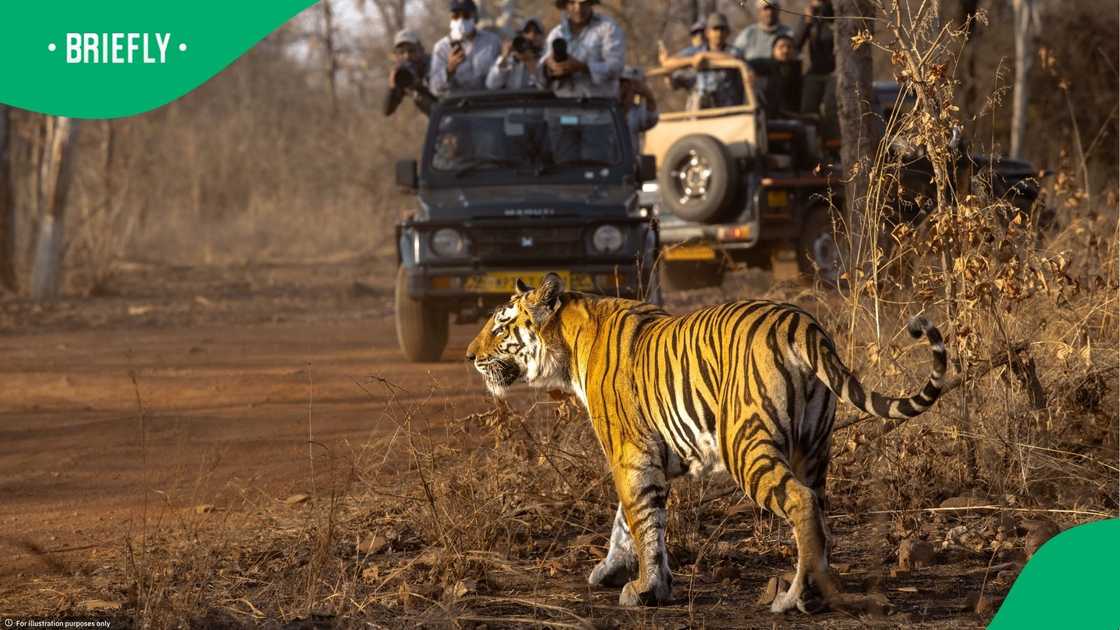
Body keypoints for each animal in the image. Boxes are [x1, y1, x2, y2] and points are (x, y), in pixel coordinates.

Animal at [465, 273, 948, 613]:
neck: (568, 345)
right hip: (814, 448)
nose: (470, 356)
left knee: (800, 503)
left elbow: (642, 520)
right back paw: (817, 587)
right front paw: (611, 570)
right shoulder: (648, 455)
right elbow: (627, 519)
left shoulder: (631, 454)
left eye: (501, 326)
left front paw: (646, 588)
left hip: (745, 445)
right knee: (819, 509)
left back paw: (796, 597)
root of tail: (802, 323)